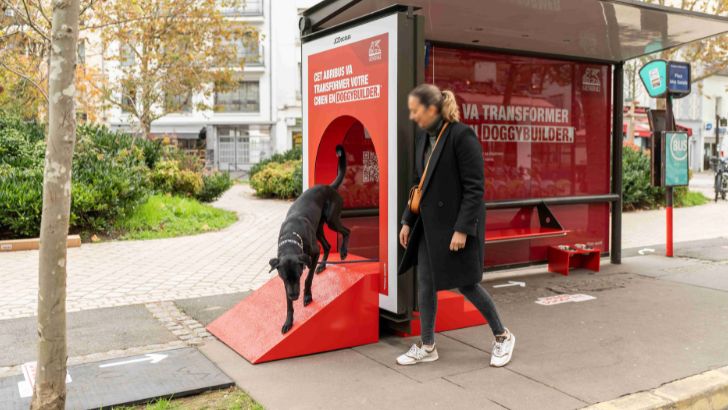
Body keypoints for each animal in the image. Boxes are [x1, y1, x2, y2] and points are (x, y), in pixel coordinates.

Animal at [270, 146, 350, 334]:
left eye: (298, 275)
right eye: (285, 278)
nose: (295, 296)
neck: (291, 238)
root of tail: (329, 187)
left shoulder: (312, 255)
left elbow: (308, 278)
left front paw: (307, 296)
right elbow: (288, 304)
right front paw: (288, 322)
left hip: (331, 219)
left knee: (346, 231)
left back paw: (343, 252)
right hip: (319, 229)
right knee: (327, 246)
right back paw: (322, 266)